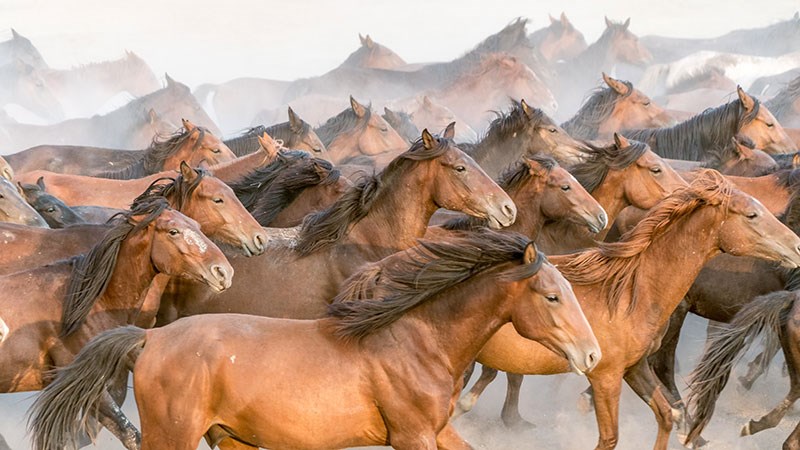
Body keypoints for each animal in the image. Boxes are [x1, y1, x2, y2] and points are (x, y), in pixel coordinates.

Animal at [29, 229, 601, 450]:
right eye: (553, 296)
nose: (592, 354)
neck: (416, 344)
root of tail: (149, 340)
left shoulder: (435, 432)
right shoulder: (412, 436)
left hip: (228, 436)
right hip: (173, 437)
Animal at [456, 171, 800, 450]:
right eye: (752, 214)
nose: (796, 245)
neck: (628, 292)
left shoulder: (635, 367)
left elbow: (664, 416)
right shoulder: (606, 376)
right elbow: (609, 438)